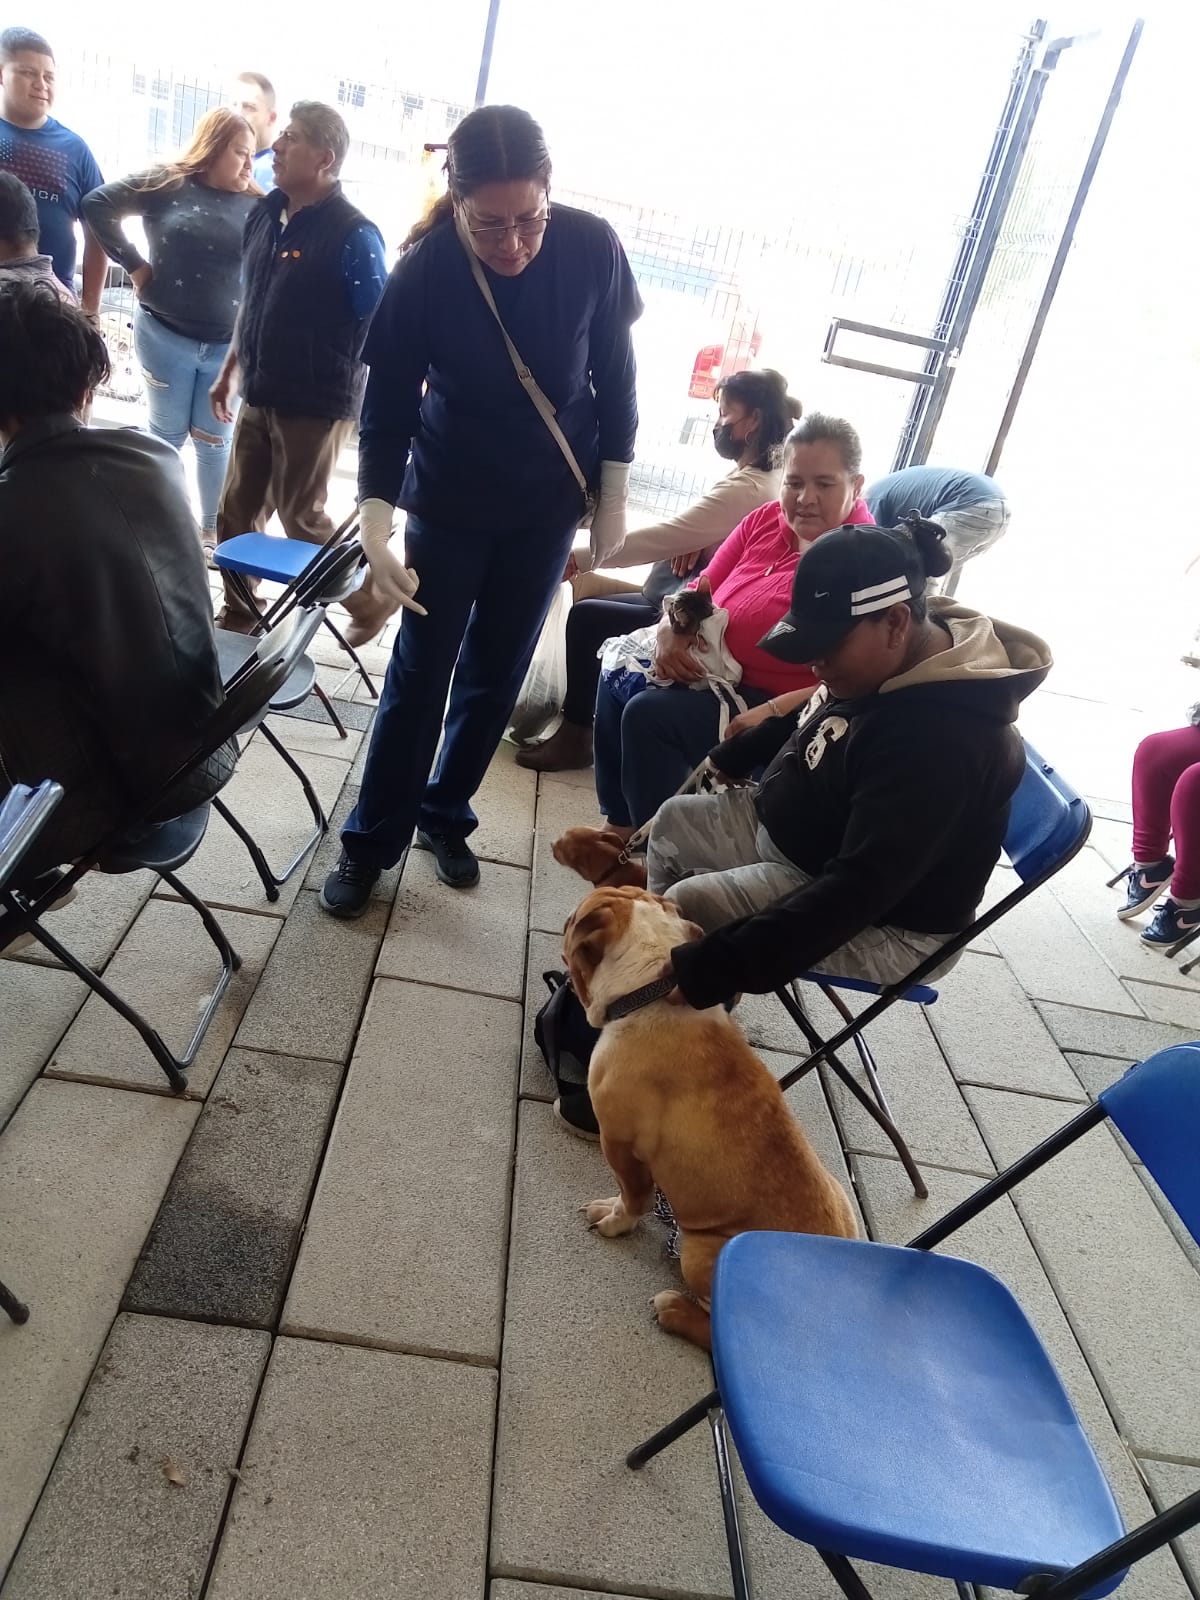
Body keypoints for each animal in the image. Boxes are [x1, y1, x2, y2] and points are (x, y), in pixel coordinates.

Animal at [566, 883, 857, 1344]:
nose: (566, 917)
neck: (650, 988)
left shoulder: (620, 1144)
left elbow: (632, 1197)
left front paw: (614, 1221)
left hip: (699, 1251)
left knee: (717, 1327)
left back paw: (674, 1310)